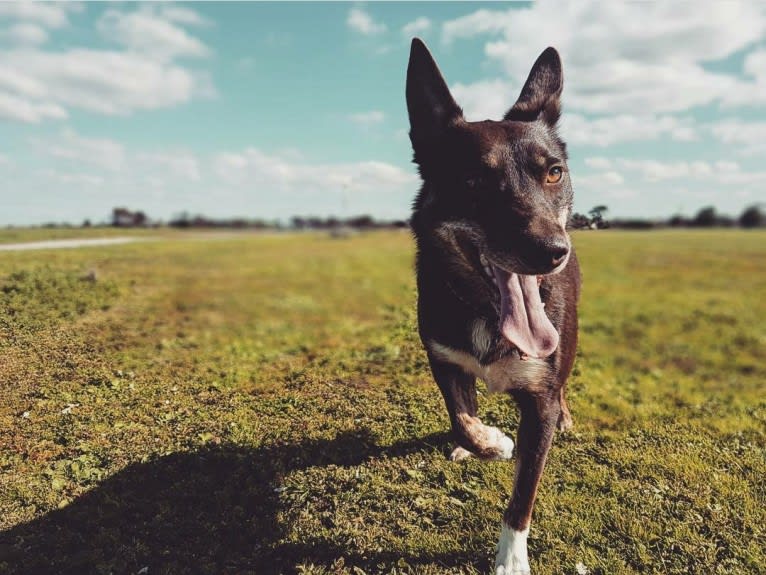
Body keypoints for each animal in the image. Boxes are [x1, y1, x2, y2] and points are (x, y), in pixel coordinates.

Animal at [408, 38, 584, 572]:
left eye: (553, 173)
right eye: (472, 181)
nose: (552, 251)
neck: (489, 314)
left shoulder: (540, 399)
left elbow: (524, 492)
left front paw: (510, 558)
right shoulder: (443, 359)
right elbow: (462, 420)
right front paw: (488, 442)